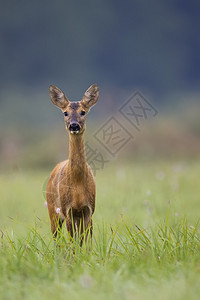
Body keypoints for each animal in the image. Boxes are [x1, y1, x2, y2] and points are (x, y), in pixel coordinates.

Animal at [46, 82, 99, 244]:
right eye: (65, 113)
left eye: (83, 112)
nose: (74, 125)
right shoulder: (67, 209)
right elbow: (73, 242)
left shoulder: (89, 209)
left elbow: (86, 242)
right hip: (53, 210)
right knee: (56, 237)